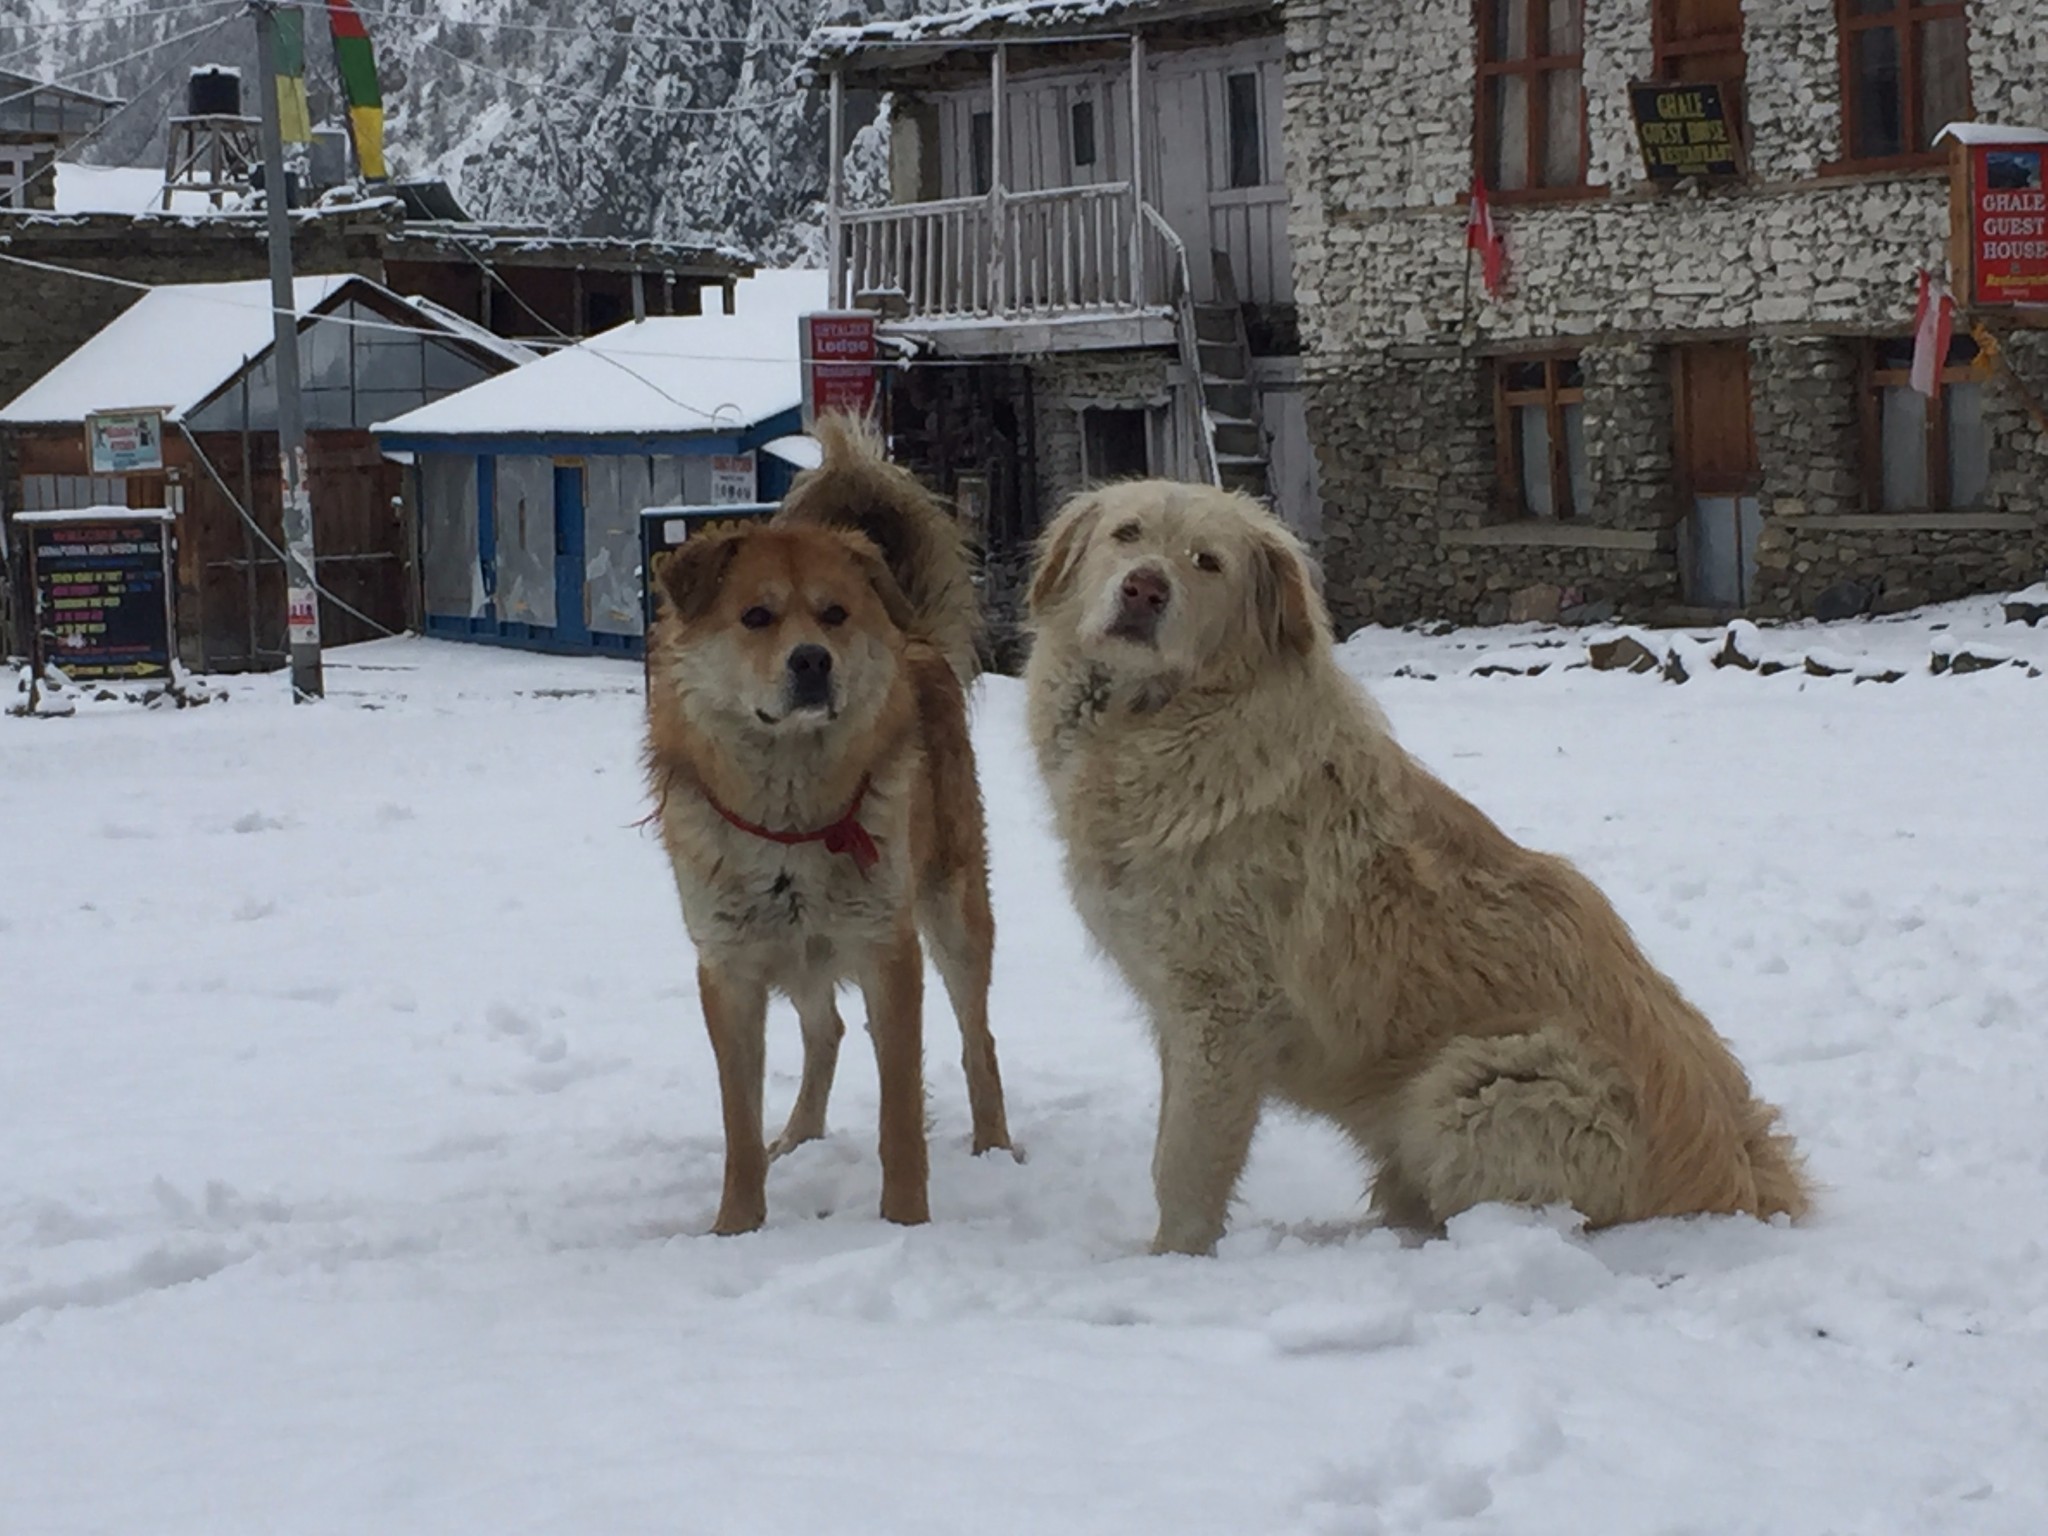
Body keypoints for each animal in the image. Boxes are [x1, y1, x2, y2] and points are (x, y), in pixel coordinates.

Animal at [647, 421, 1007, 1236]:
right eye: (756, 617)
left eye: (834, 614)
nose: (811, 662)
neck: (791, 817)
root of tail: (916, 640)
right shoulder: (729, 966)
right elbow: (738, 1120)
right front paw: (736, 1227)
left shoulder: (888, 949)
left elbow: (900, 1114)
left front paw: (905, 1224)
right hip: (801, 947)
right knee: (827, 1031)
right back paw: (798, 1139)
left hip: (954, 908)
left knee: (978, 1037)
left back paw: (997, 1148)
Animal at [1024, 483, 1810, 1261]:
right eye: (1126, 534)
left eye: (1207, 561)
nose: (1145, 589)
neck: (1174, 726)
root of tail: (1744, 1179)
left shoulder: (1222, 1014)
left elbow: (1183, 1159)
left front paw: (1170, 1260)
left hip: (1477, 1083)